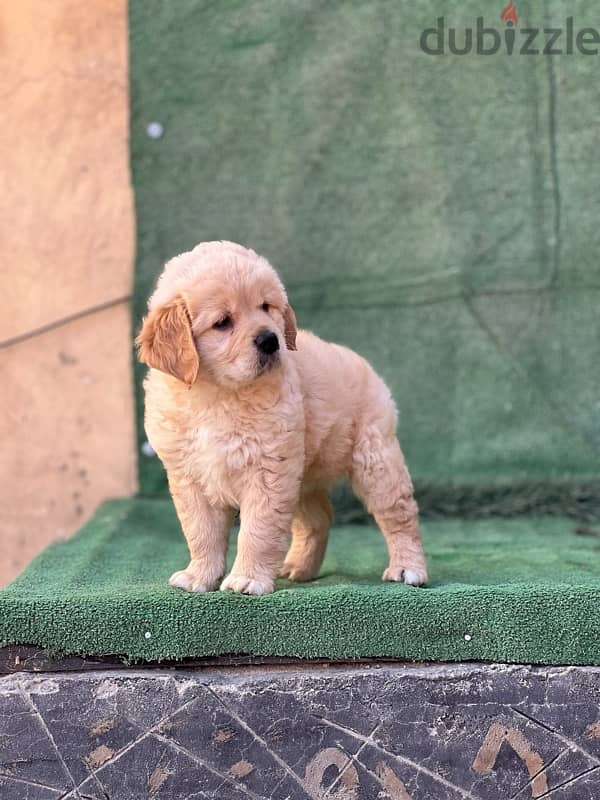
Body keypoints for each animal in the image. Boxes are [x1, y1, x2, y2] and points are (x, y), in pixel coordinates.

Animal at [136, 242, 426, 592]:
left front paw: (247, 578)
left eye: (266, 306)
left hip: (375, 462)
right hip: (302, 476)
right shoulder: (191, 477)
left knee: (400, 515)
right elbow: (201, 532)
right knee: (320, 519)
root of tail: (365, 365)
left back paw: (408, 569)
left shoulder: (267, 472)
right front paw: (199, 576)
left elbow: (257, 531)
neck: (216, 395)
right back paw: (300, 567)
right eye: (223, 322)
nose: (270, 339)